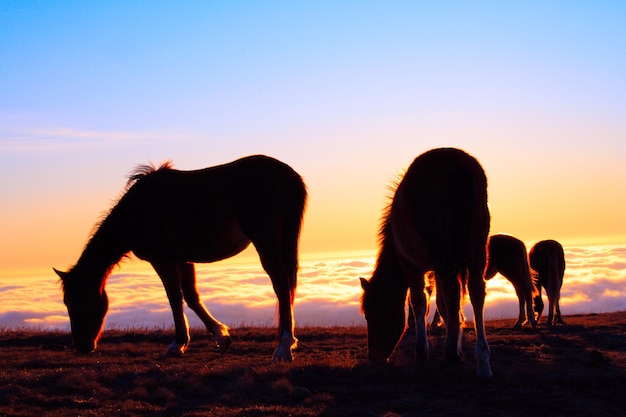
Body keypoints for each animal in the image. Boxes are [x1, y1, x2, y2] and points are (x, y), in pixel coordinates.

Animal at [54, 154, 308, 360]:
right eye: (67, 303)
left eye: (80, 301)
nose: (82, 347)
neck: (138, 211)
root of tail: (289, 175)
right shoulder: (184, 259)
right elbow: (192, 296)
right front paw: (221, 336)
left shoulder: (163, 259)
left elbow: (174, 297)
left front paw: (178, 344)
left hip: (265, 241)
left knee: (281, 284)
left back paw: (284, 347)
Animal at [358, 148, 490, 378]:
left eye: (371, 313)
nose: (374, 358)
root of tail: (456, 164)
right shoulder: (437, 268)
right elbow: (440, 303)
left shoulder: (412, 266)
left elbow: (420, 301)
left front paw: (423, 351)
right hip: (476, 250)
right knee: (476, 291)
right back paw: (482, 361)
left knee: (453, 292)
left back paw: (450, 355)